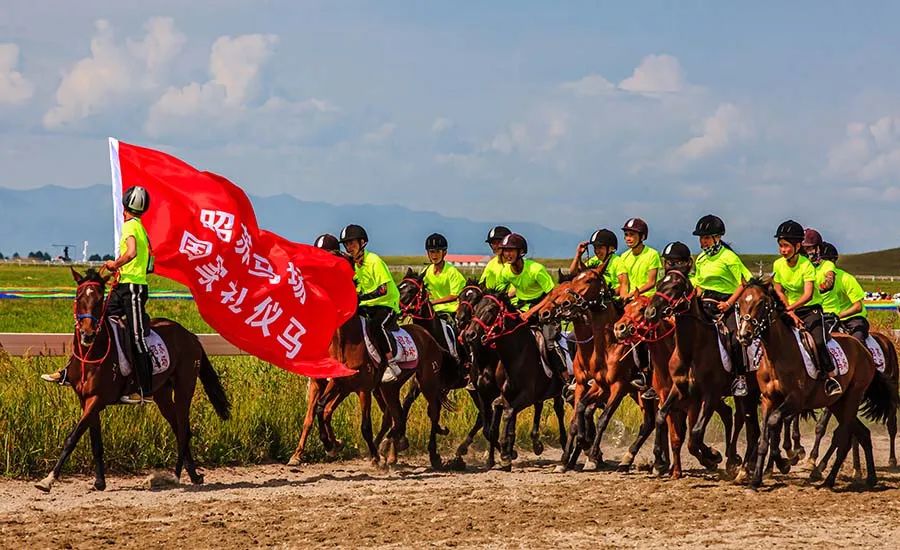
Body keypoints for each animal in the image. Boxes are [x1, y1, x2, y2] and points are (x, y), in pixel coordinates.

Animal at [35, 270, 232, 494]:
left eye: (99, 300)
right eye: (78, 297)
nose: (88, 334)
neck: (92, 353)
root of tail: (190, 336)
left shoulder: (97, 399)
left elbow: (72, 438)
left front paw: (48, 480)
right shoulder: (86, 399)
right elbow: (95, 442)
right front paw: (99, 482)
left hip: (184, 388)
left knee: (183, 430)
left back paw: (174, 476)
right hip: (163, 395)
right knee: (177, 428)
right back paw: (193, 474)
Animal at [460, 292, 568, 472]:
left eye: (490, 310)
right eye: (475, 308)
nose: (469, 334)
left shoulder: (525, 396)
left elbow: (508, 414)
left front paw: (506, 455)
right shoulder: (492, 395)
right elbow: (492, 426)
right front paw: (497, 457)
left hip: (557, 391)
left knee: (558, 410)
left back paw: (564, 445)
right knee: (539, 406)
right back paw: (536, 443)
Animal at [732, 278, 892, 490]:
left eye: (761, 303)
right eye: (740, 302)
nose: (744, 335)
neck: (778, 353)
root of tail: (864, 350)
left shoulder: (795, 400)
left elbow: (775, 422)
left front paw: (785, 461)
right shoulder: (768, 399)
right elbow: (764, 438)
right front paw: (756, 479)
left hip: (852, 398)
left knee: (844, 437)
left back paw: (828, 479)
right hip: (838, 403)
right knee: (862, 433)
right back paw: (871, 478)